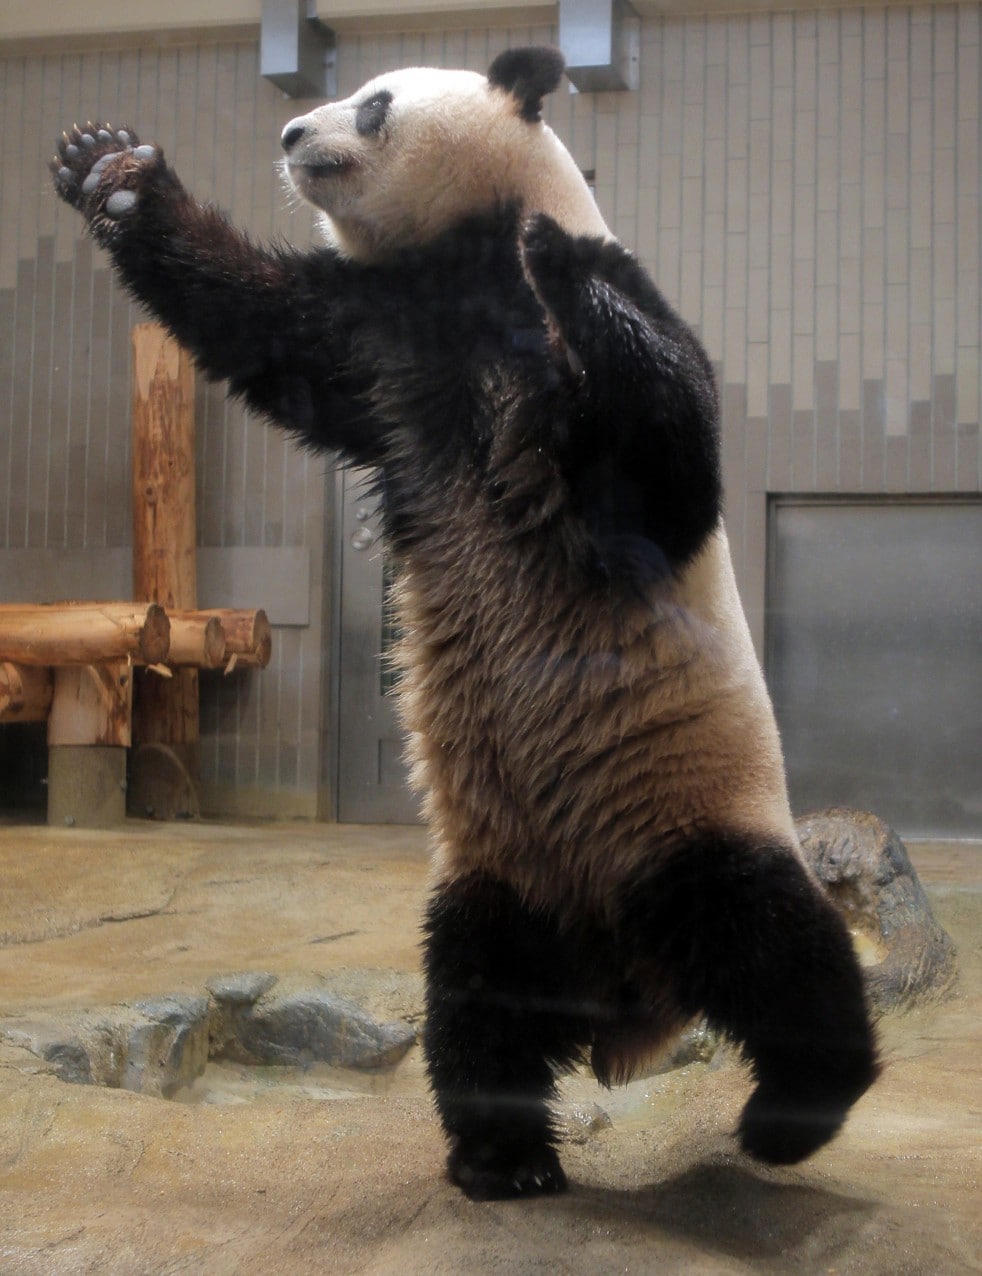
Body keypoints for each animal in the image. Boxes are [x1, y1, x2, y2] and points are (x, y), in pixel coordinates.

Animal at [52, 45, 878, 1201]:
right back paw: (505, 1157)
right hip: (500, 873)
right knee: (479, 998)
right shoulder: (379, 346)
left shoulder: (565, 365)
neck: (460, 268)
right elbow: (253, 321)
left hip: (688, 807)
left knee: (774, 946)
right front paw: (107, 169)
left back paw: (787, 1118)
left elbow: (667, 457)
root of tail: (626, 1001)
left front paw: (563, 264)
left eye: (374, 104)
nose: (291, 135)